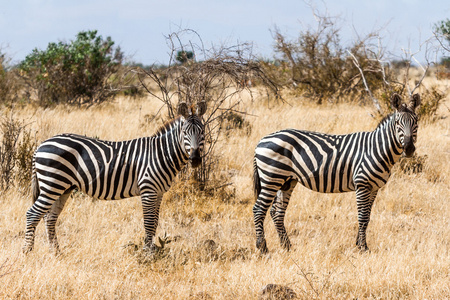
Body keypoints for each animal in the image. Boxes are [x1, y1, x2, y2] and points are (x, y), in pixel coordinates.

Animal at [23, 101, 207, 253]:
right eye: (184, 132)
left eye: (202, 131)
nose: (195, 159)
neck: (160, 154)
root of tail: (40, 146)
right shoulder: (148, 189)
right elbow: (148, 223)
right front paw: (147, 254)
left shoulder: (159, 192)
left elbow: (154, 222)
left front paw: (153, 251)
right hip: (52, 184)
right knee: (33, 214)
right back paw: (27, 253)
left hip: (63, 188)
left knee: (50, 217)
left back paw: (56, 253)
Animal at [253, 93, 422, 253]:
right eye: (398, 122)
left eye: (416, 121)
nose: (409, 149)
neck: (377, 149)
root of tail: (261, 140)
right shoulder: (362, 184)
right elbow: (362, 217)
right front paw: (363, 248)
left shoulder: (374, 188)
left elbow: (367, 217)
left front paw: (359, 244)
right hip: (272, 177)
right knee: (259, 209)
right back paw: (263, 248)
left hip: (286, 181)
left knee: (277, 212)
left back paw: (287, 246)